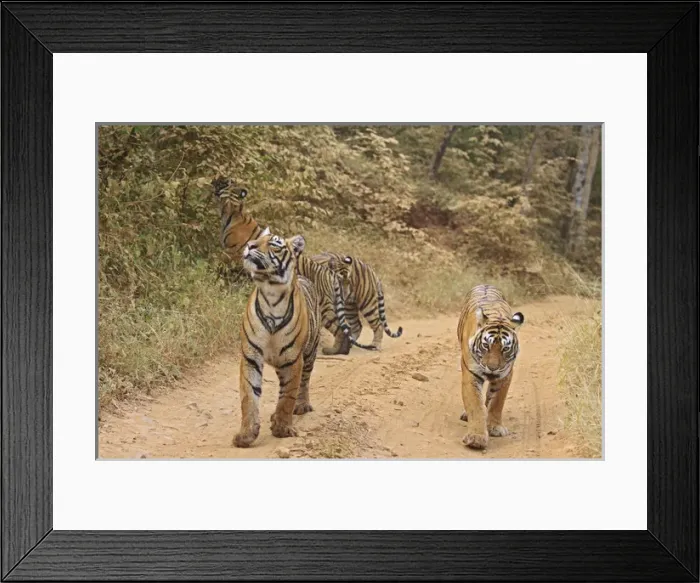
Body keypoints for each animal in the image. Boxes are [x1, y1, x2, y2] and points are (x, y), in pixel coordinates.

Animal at [233, 230, 321, 448]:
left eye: (274, 244)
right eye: (257, 239)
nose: (250, 245)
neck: (270, 291)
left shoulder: (293, 359)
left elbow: (288, 396)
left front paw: (282, 429)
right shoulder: (251, 356)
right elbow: (249, 396)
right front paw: (246, 435)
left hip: (309, 353)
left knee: (304, 382)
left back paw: (302, 405)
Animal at [457, 284, 524, 450]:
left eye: (505, 349)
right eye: (486, 345)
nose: (492, 368)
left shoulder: (505, 375)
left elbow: (497, 402)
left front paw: (495, 427)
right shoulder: (471, 374)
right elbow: (475, 405)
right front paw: (476, 438)